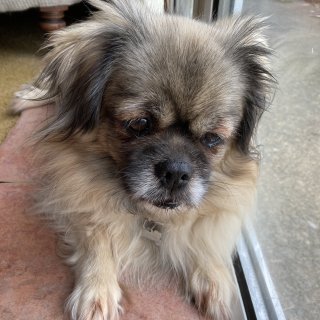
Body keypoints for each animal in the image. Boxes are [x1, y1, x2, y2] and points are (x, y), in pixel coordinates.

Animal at [11, 0, 272, 318]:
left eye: (212, 138)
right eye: (139, 124)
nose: (176, 171)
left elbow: (203, 233)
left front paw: (214, 278)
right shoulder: (76, 198)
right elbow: (97, 237)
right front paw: (97, 289)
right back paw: (26, 97)